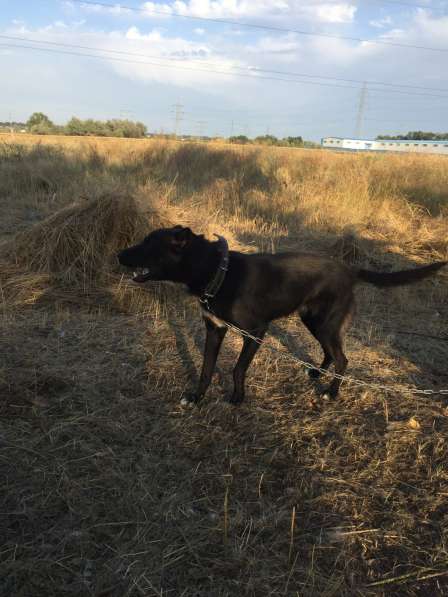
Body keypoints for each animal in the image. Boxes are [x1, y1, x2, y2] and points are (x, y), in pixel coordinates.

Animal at [117, 227, 446, 406]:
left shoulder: (255, 332)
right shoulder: (215, 329)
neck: (218, 272)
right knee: (331, 353)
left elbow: (237, 368)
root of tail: (349, 270)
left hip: (325, 323)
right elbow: (206, 369)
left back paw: (330, 393)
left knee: (343, 358)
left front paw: (237, 398)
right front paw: (196, 398)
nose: (118, 254)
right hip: (313, 321)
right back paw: (316, 373)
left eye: (148, 244)